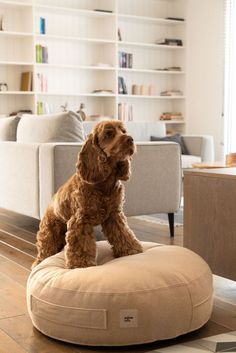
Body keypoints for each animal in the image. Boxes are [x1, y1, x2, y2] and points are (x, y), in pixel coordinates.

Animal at [32, 119, 143, 268]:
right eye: (109, 134)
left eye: (123, 131)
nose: (130, 139)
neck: (104, 184)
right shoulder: (80, 220)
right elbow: (81, 244)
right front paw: (81, 264)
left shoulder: (114, 215)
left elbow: (123, 233)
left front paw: (131, 250)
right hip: (49, 233)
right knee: (44, 251)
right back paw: (38, 263)